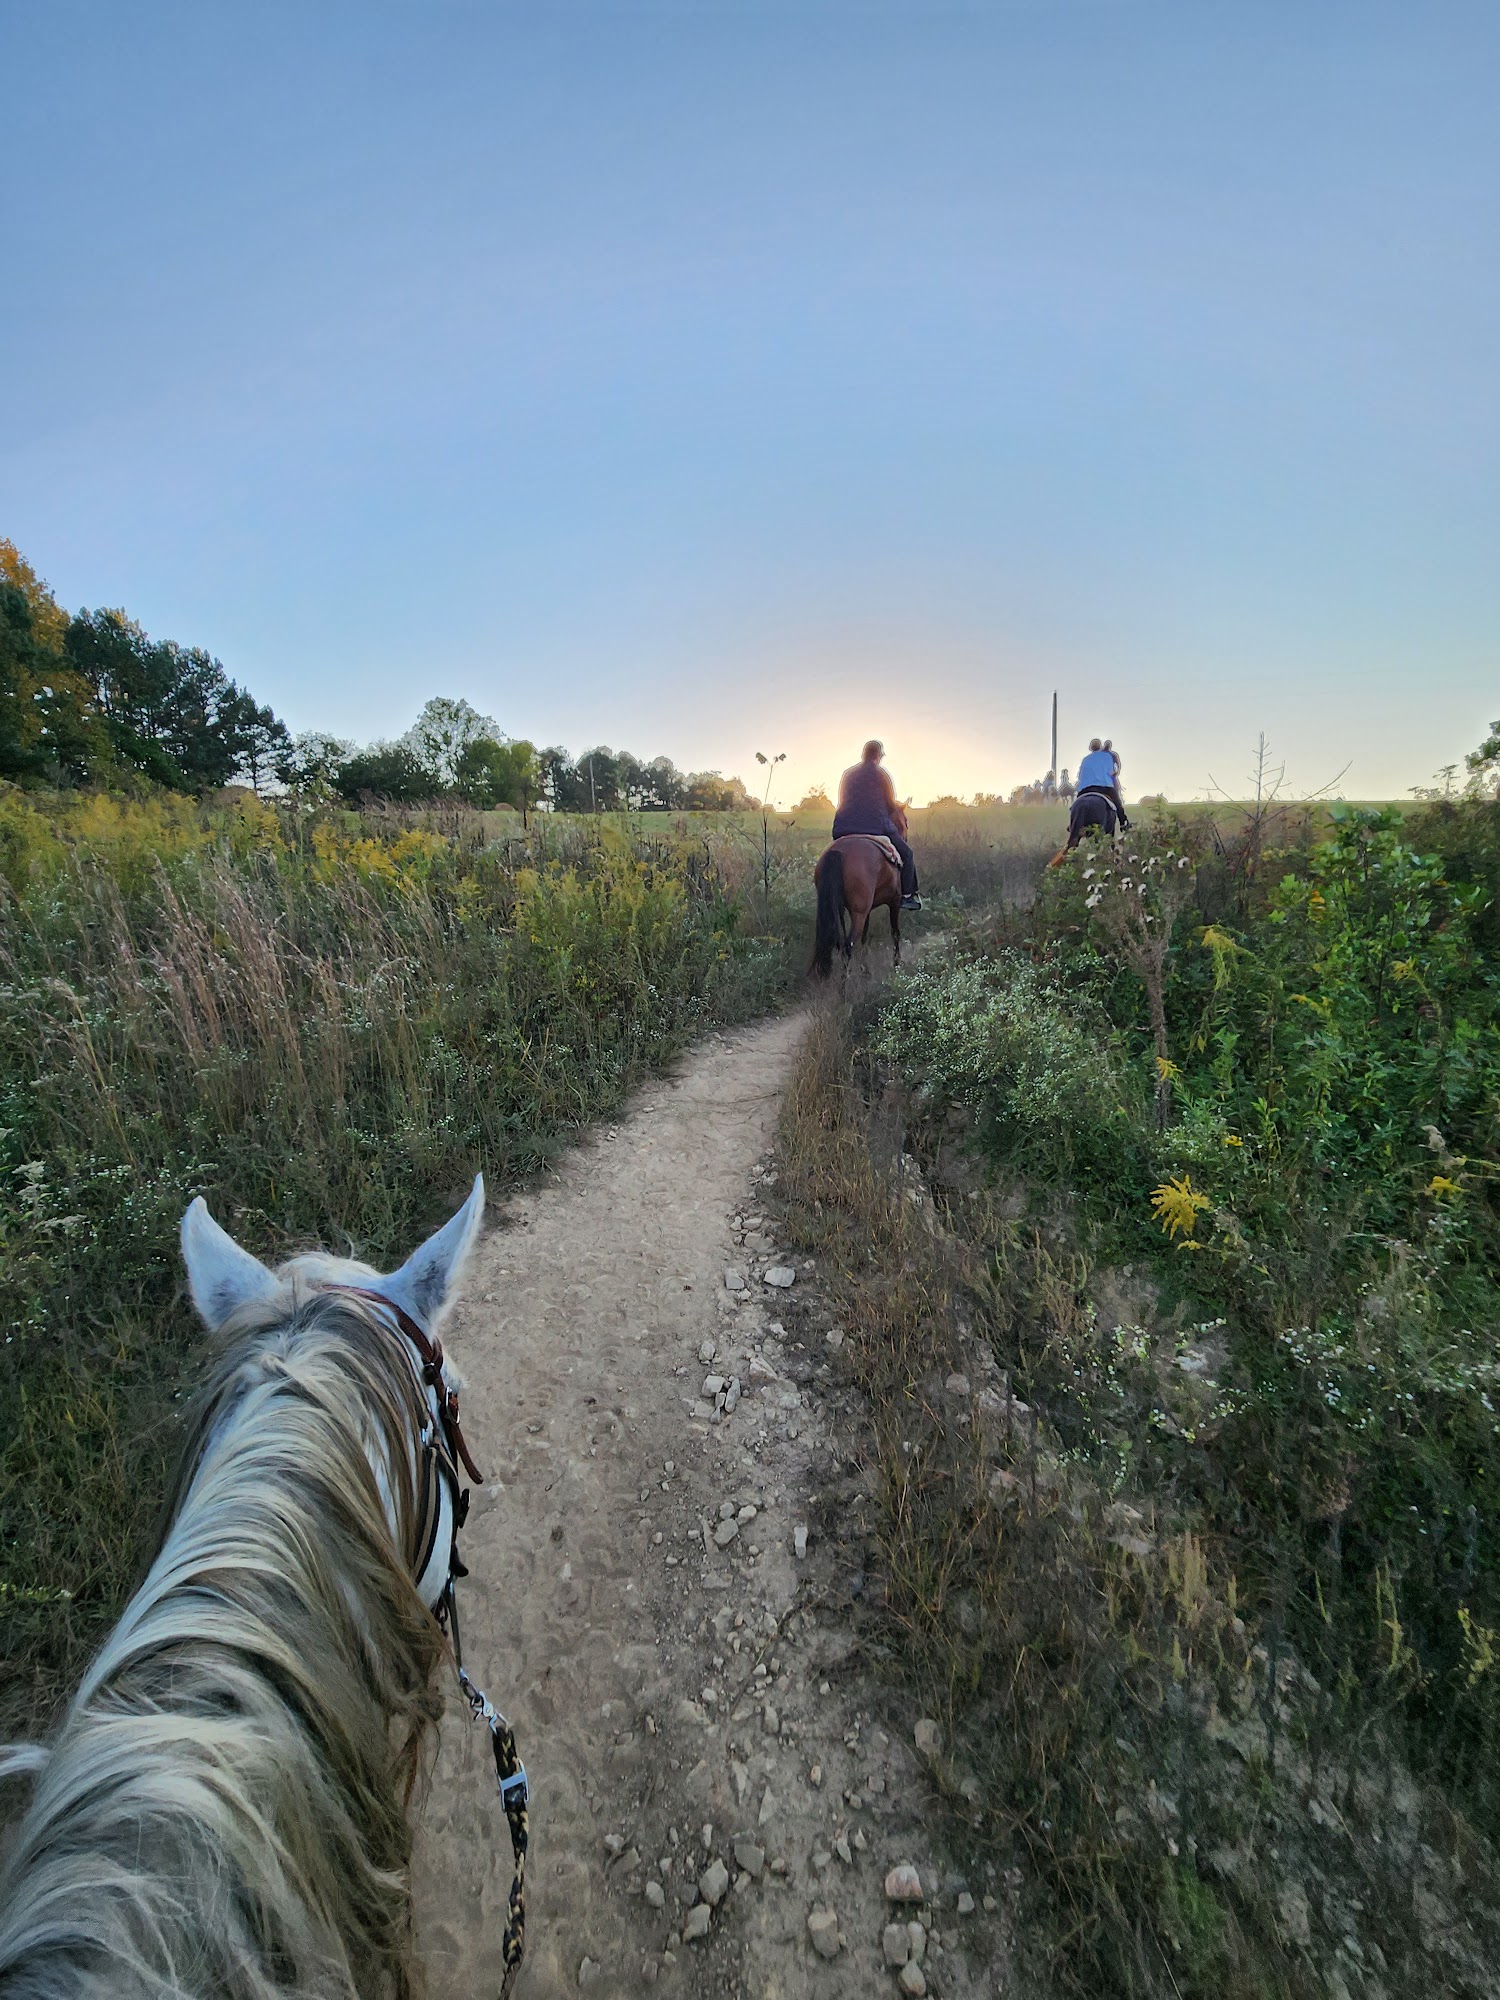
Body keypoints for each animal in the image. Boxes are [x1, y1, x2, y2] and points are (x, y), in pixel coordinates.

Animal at [812, 824, 904, 980]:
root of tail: (838, 851)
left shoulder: (867, 910)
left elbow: (864, 937)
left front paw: (865, 969)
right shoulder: (894, 902)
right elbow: (895, 932)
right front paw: (896, 964)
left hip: (839, 910)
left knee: (840, 942)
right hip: (858, 913)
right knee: (848, 945)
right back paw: (844, 983)